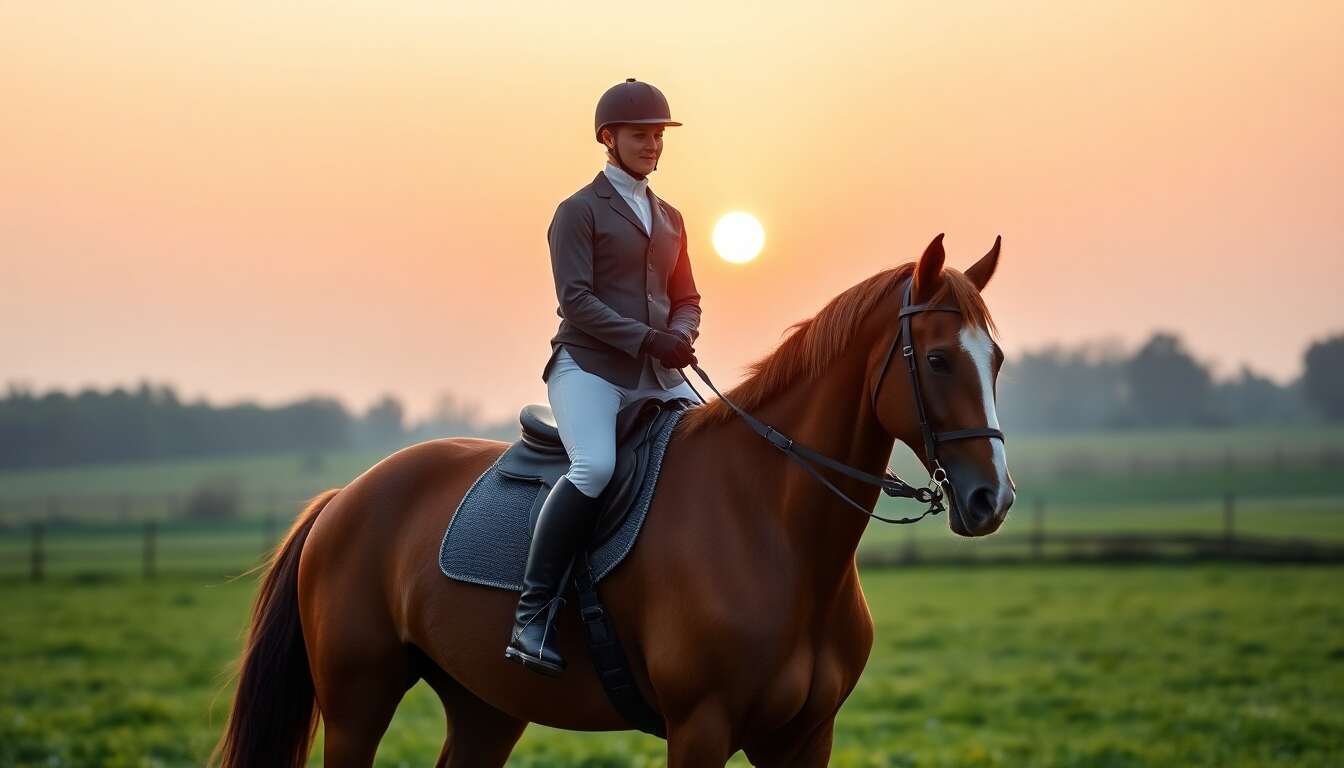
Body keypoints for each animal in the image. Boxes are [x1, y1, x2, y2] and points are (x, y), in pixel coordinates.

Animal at [214, 233, 1014, 767]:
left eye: (998, 360)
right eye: (938, 358)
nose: (992, 499)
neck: (777, 530)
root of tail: (346, 497)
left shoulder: (804, 738)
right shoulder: (701, 729)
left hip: (484, 707)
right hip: (358, 701)